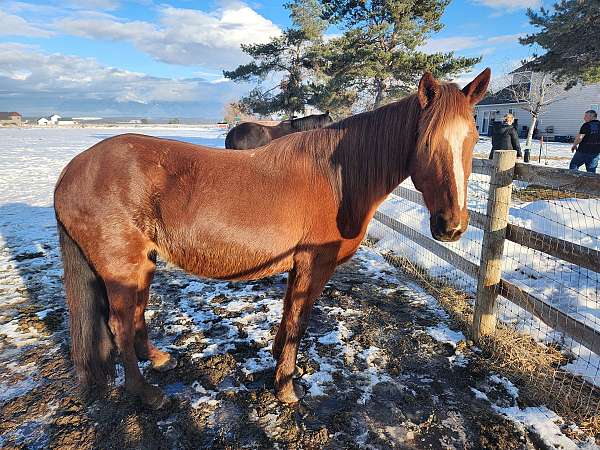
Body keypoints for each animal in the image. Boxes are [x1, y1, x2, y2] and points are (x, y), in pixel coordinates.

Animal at [54, 68, 490, 410]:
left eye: (472, 140)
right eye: (427, 143)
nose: (452, 227)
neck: (336, 179)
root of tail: (71, 173)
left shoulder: (298, 265)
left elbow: (287, 314)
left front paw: (279, 358)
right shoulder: (314, 265)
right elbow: (300, 319)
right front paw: (285, 387)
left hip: (142, 264)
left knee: (136, 315)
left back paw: (159, 360)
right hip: (123, 267)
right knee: (119, 324)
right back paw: (145, 393)